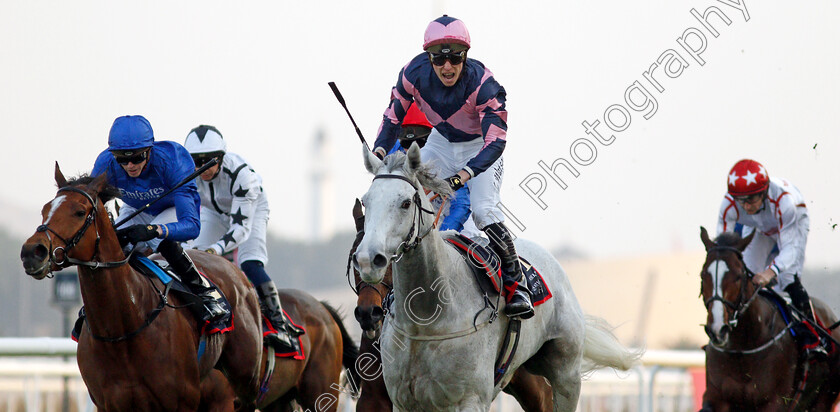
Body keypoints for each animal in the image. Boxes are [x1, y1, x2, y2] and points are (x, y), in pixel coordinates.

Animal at [21, 166, 264, 410]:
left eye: (80, 212)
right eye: (45, 209)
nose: (32, 252)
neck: (123, 329)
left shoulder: (183, 402)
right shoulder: (108, 403)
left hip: (242, 386)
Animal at [696, 227, 840, 410]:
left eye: (738, 276)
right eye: (703, 275)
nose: (717, 330)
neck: (742, 350)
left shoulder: (775, 401)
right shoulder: (716, 397)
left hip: (824, 399)